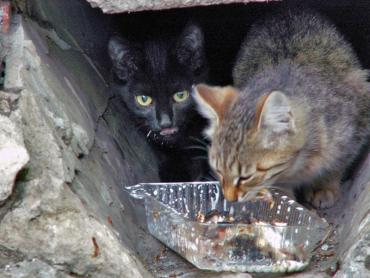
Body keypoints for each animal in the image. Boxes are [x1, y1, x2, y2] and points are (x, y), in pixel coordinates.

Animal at [194, 10, 370, 208]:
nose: (230, 198)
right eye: (218, 170)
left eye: (245, 177)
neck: (299, 165)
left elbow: (337, 165)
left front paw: (323, 186)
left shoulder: (357, 122)